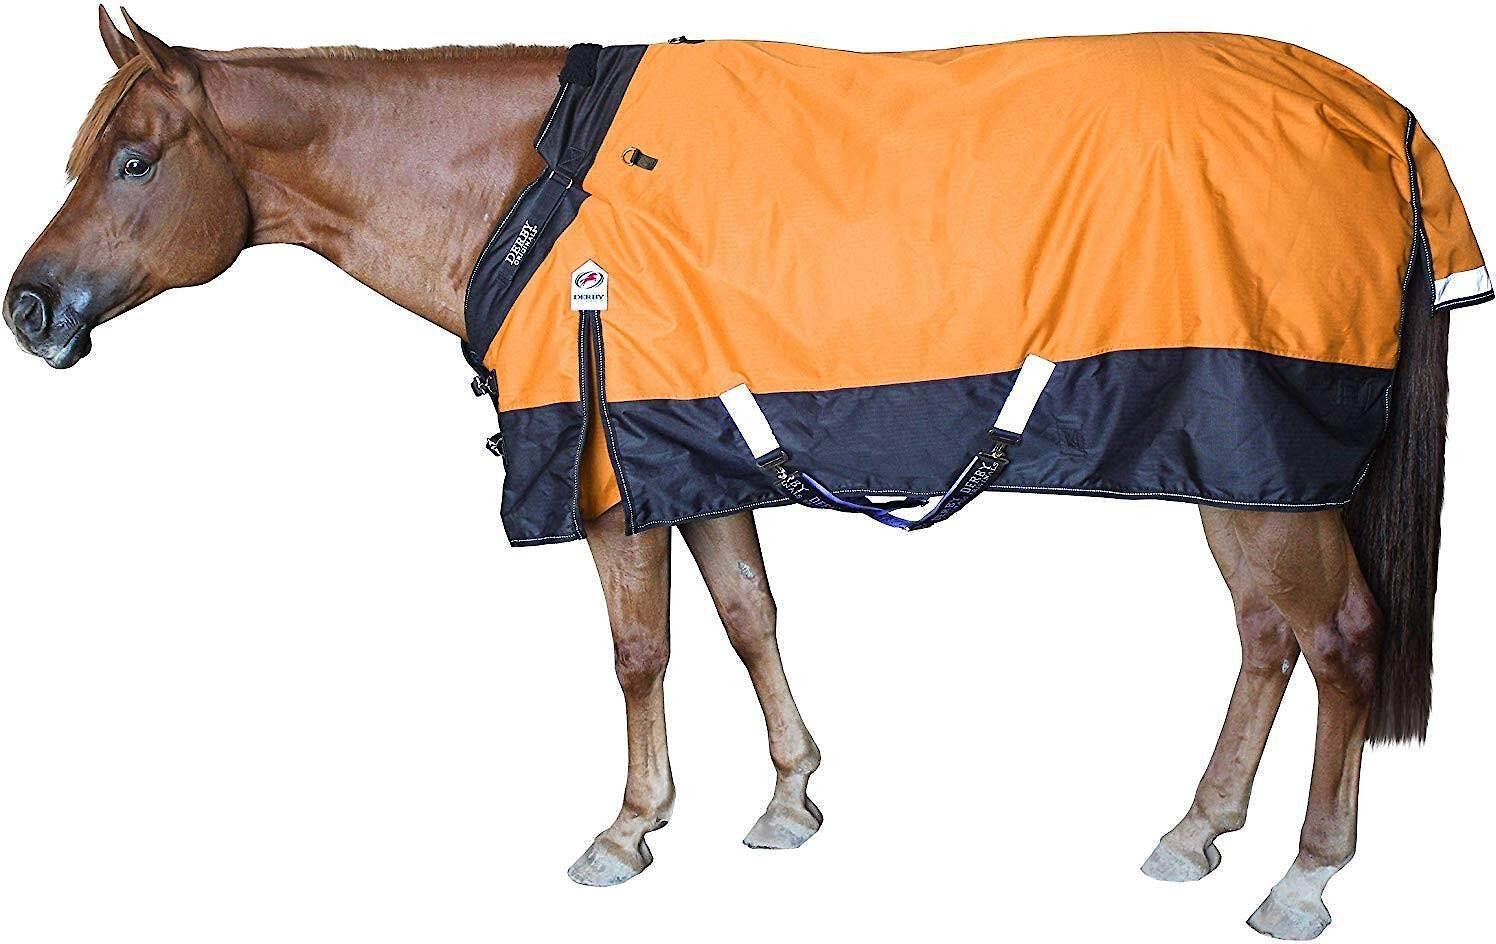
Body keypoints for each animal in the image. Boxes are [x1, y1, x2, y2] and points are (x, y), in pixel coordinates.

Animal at [3, 11, 1475, 939]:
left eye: (132, 160)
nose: (29, 310)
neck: (533, 188)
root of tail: (1385, 119)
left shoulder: (605, 470)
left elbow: (641, 650)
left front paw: (627, 829)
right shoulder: (690, 459)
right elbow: (748, 618)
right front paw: (788, 800)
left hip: (1261, 461)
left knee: (1339, 638)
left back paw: (1302, 880)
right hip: (1238, 466)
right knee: (1267, 638)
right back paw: (1194, 830)